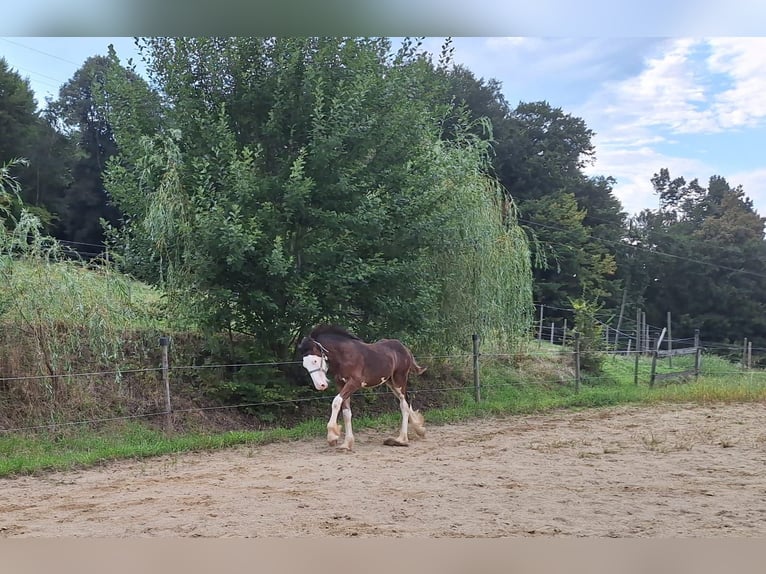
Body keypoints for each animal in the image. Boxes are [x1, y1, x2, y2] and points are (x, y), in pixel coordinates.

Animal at [298, 326, 428, 452]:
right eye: (305, 365)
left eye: (315, 360)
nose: (320, 385)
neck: (344, 355)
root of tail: (404, 348)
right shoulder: (341, 384)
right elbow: (346, 412)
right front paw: (346, 444)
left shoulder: (354, 383)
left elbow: (336, 402)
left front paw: (332, 437)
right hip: (391, 383)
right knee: (406, 402)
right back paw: (419, 430)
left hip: (399, 380)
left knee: (404, 405)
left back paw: (401, 439)